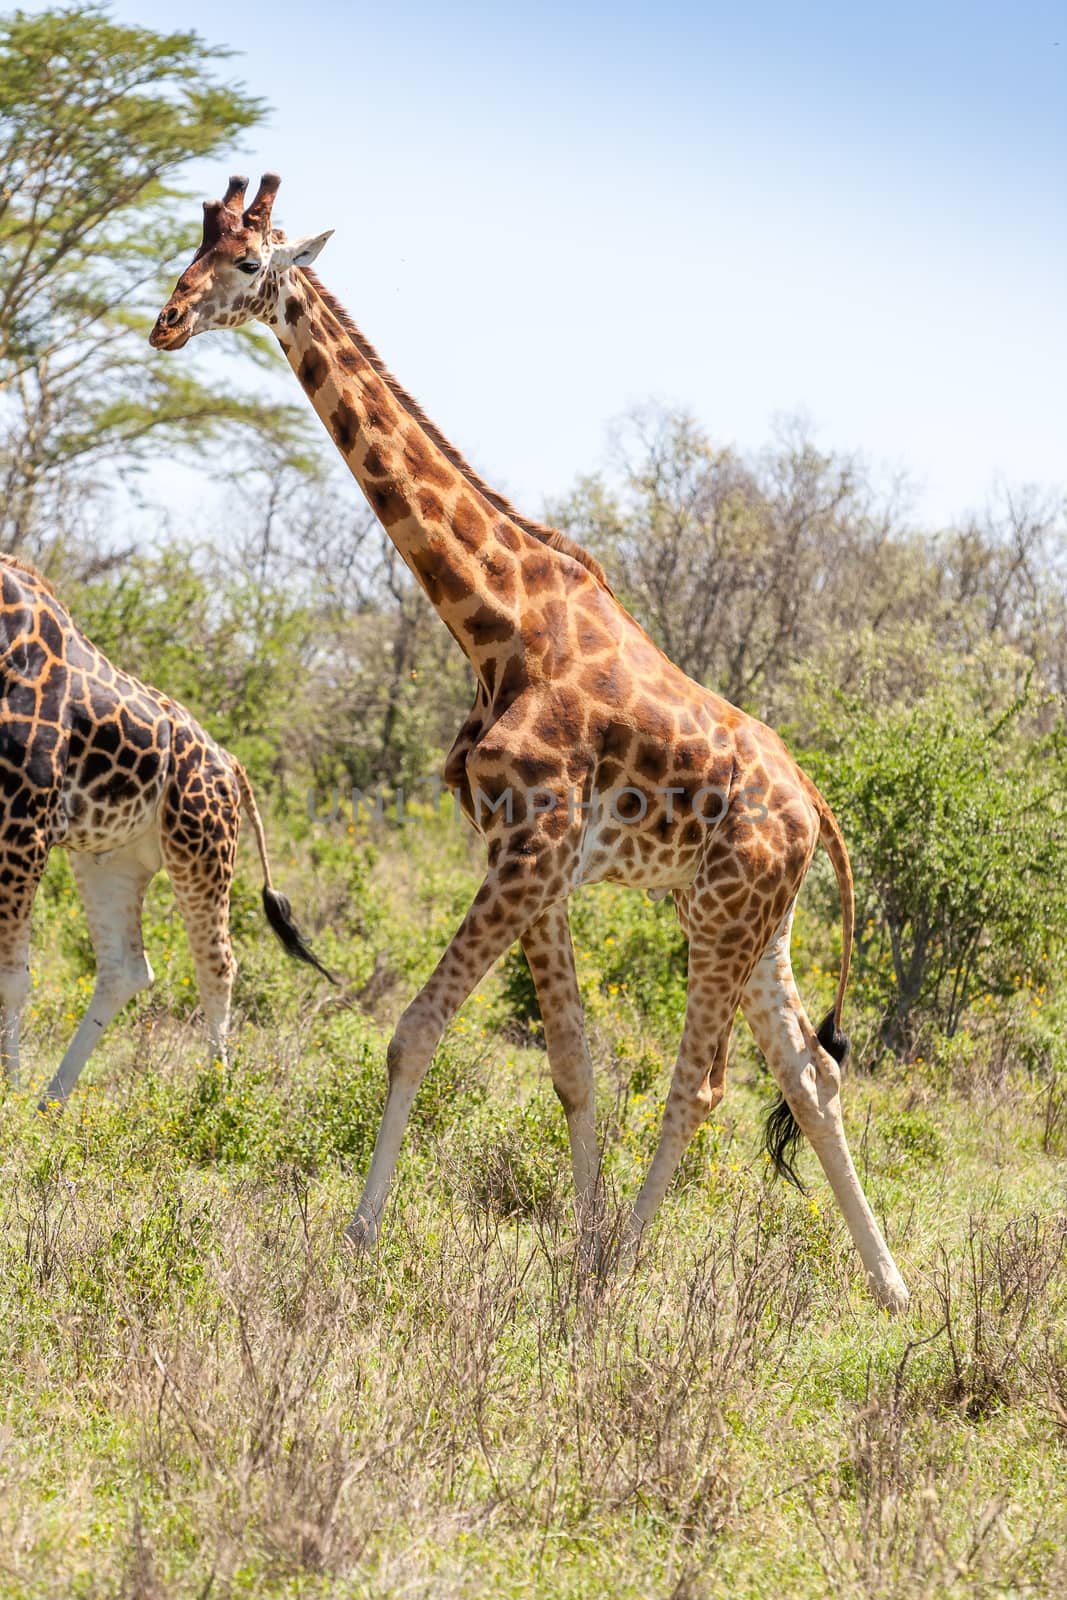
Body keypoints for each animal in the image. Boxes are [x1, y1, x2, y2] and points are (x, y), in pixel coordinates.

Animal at [0, 560, 334, 1113]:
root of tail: (231, 763)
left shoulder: (23, 816)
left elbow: (11, 979)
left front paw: (7, 1098)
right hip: (110, 858)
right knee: (126, 967)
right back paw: (52, 1101)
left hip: (202, 849)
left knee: (217, 963)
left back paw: (216, 1096)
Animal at [151, 175, 908, 1305]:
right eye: (189, 251)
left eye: (247, 263)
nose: (163, 321)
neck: (493, 622)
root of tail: (814, 802)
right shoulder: (528, 861)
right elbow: (571, 1062)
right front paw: (577, 1238)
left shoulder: (532, 846)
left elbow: (413, 1032)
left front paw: (359, 1245)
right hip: (750, 914)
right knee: (809, 1073)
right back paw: (890, 1291)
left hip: (725, 913)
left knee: (704, 1084)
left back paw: (625, 1273)